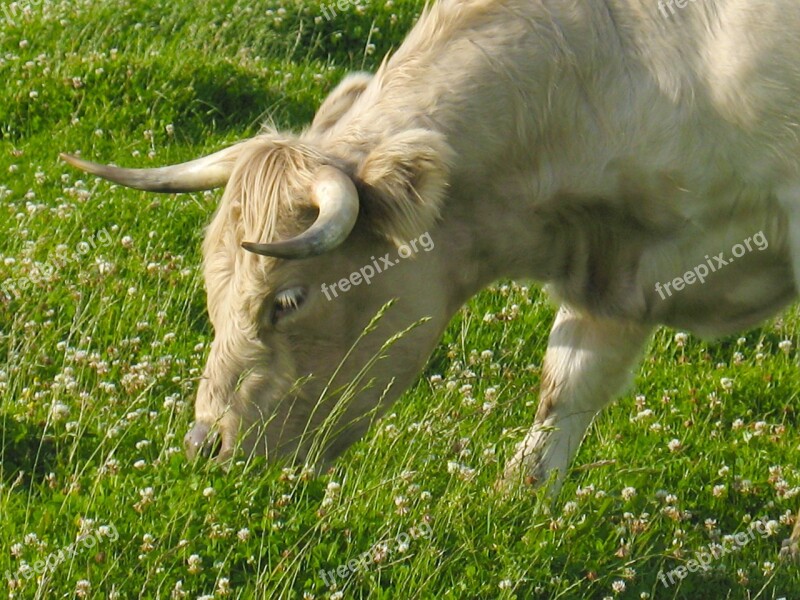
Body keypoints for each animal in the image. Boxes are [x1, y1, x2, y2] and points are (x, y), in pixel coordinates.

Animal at [62, 0, 800, 552]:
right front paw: (516, 499)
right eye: (214, 295)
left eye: (287, 300)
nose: (202, 447)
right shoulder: (617, 276)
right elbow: (566, 390)